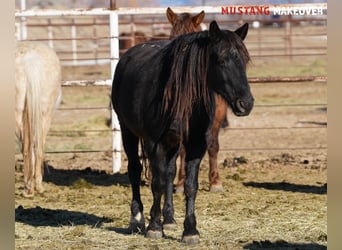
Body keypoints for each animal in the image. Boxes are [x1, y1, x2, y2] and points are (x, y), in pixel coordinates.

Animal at [15, 41, 62, 197]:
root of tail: (30, 57)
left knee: (28, 146)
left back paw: (30, 187)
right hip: (44, 114)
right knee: (36, 145)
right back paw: (35, 186)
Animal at [112, 21, 254, 244]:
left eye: (245, 60)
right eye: (222, 60)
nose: (246, 103)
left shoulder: (196, 144)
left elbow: (189, 185)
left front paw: (190, 230)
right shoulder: (154, 143)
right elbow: (157, 183)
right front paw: (154, 227)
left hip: (173, 143)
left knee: (169, 172)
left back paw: (169, 218)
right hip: (128, 131)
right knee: (135, 170)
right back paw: (137, 219)